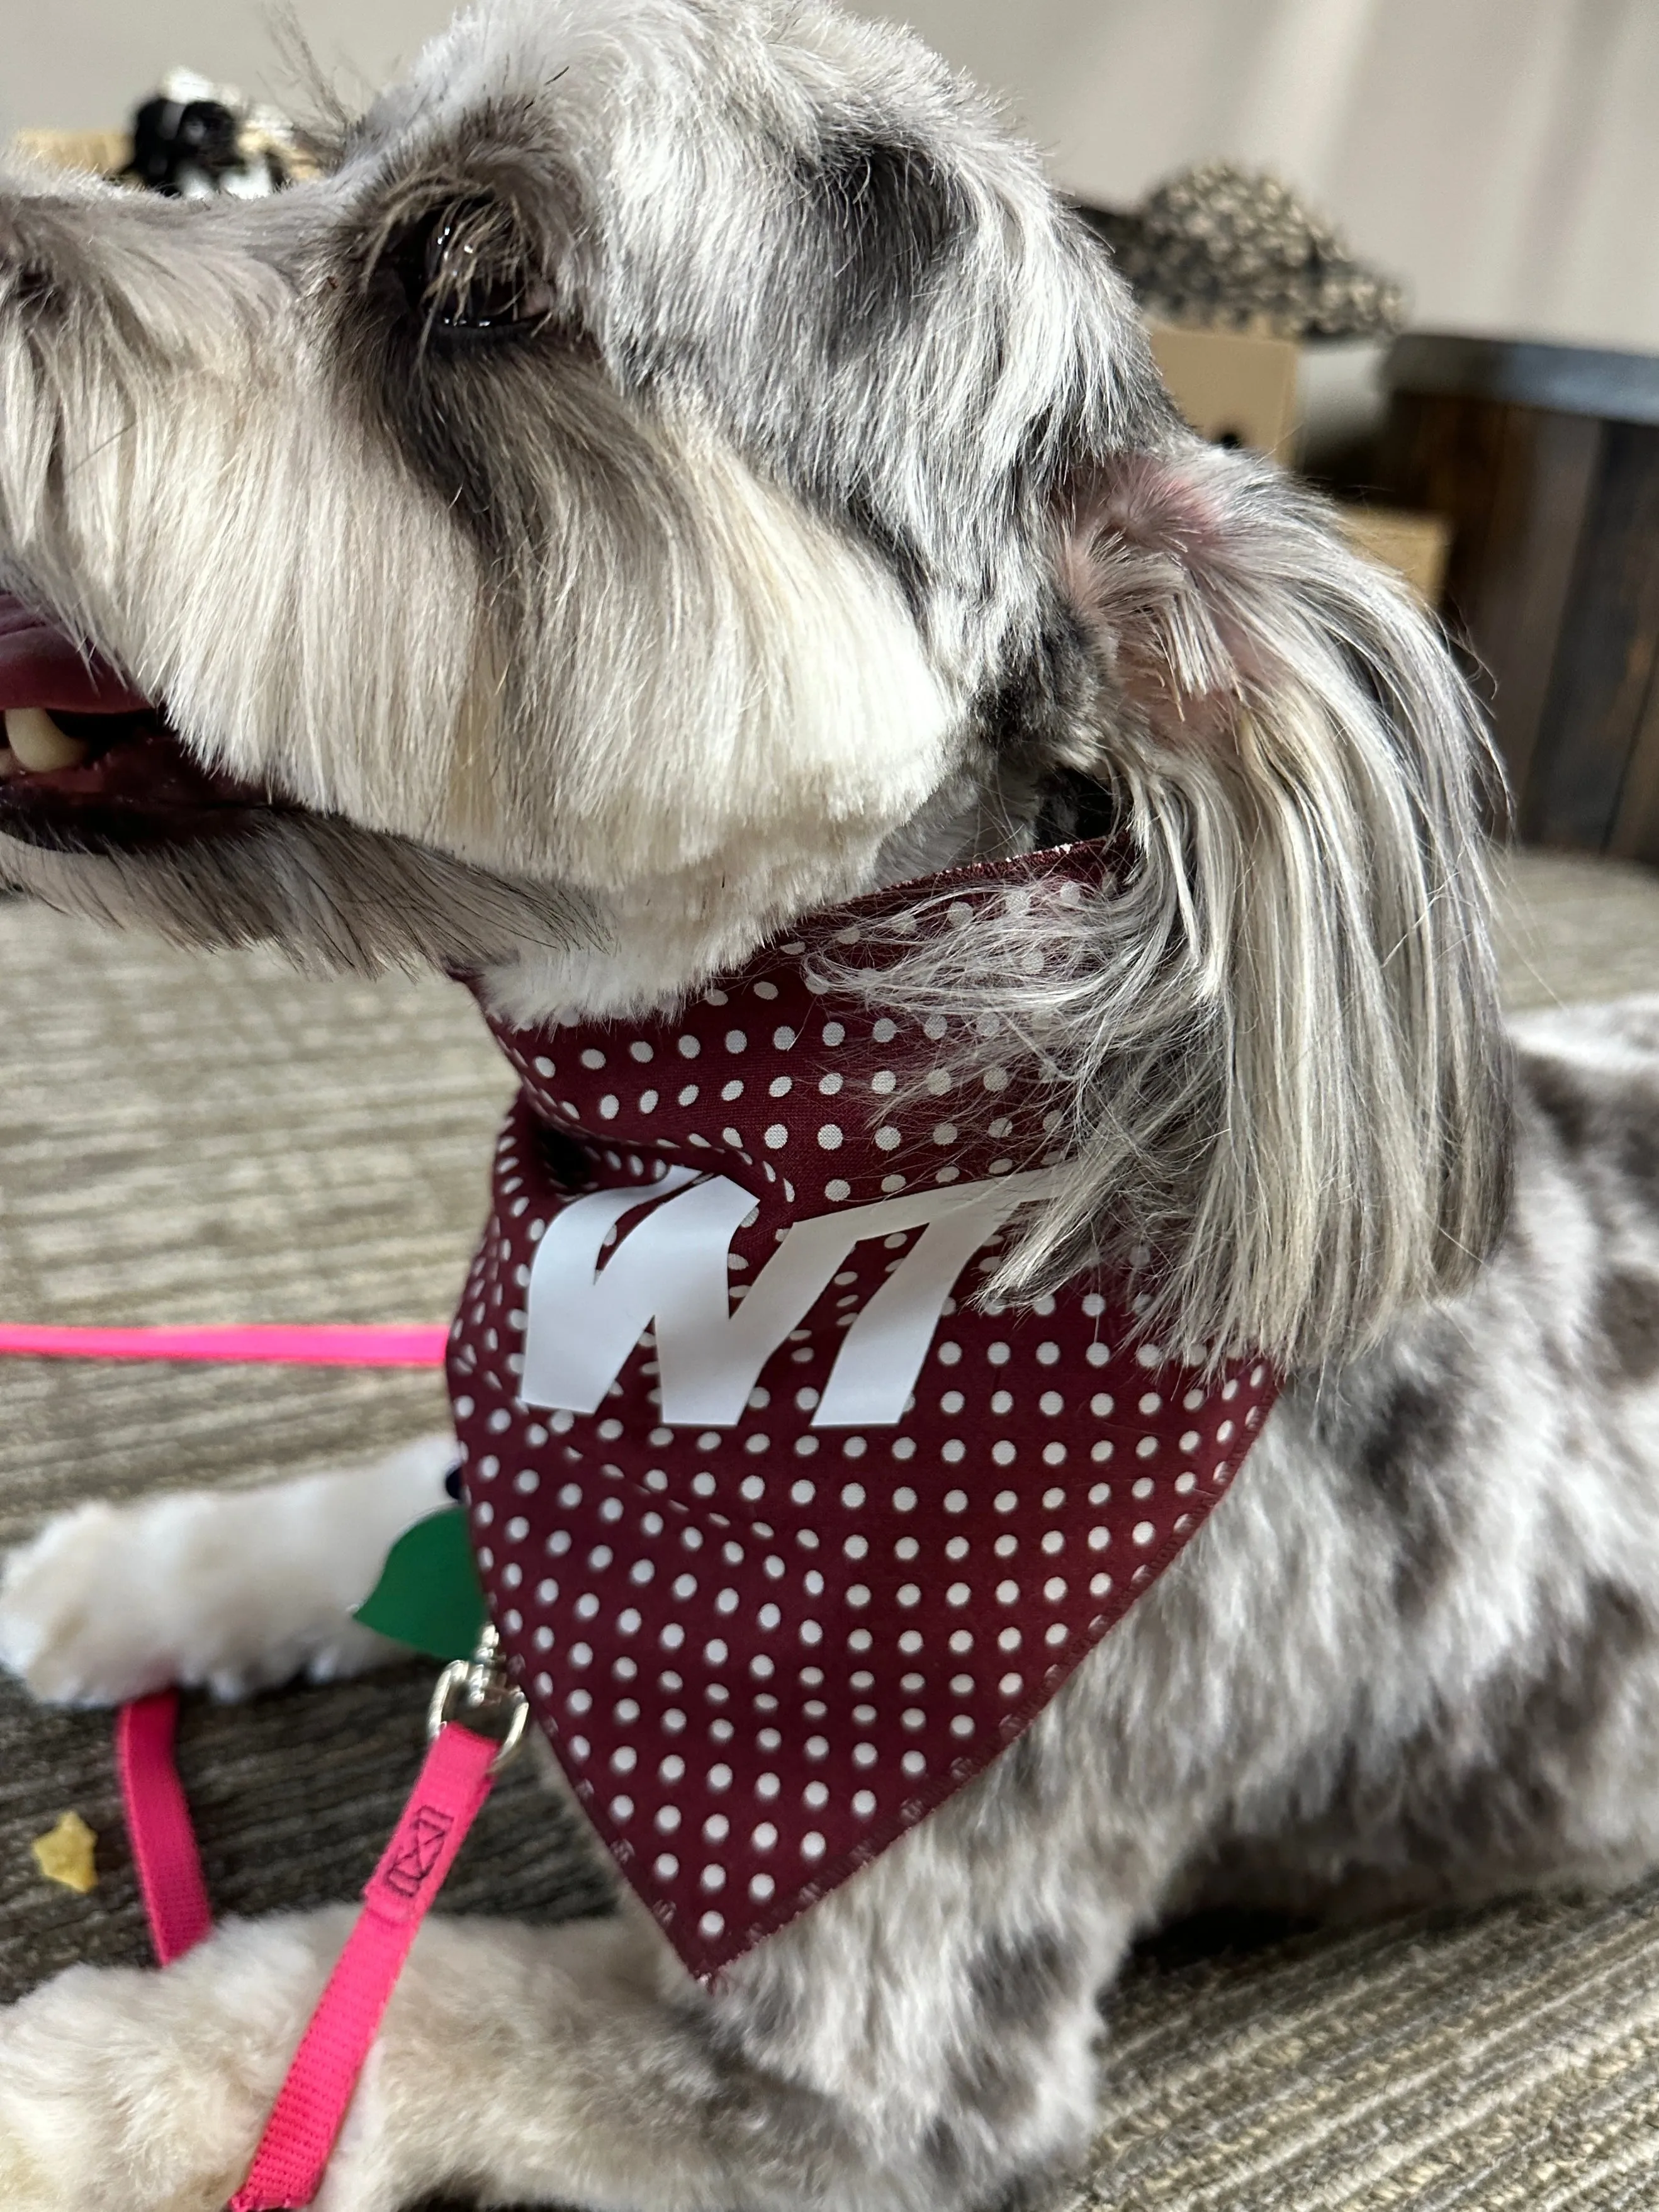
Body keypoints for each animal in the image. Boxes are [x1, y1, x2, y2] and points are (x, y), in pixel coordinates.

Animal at [0, 4, 1654, 2212]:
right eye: (312, 168)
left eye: (472, 278)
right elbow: (397, 1491)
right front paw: (140, 1572)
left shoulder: (873, 2075)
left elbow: (349, 2010)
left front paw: (74, 2082)